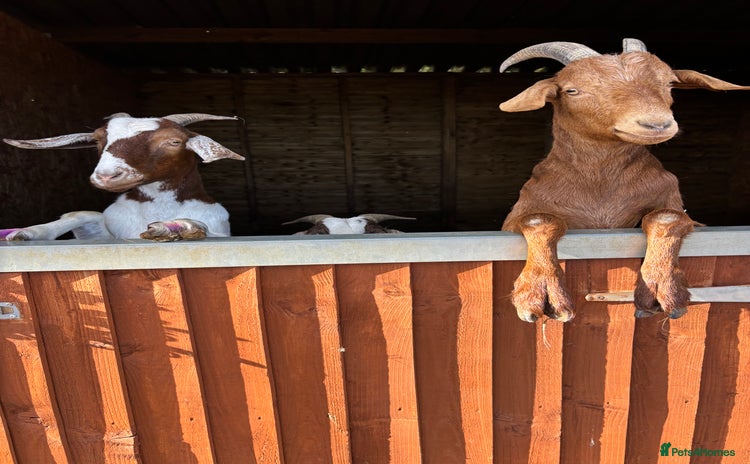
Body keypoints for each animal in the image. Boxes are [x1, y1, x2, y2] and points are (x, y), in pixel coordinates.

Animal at [1, 113, 244, 241]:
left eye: (174, 141)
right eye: (98, 140)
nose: (107, 176)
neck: (159, 206)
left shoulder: (221, 231)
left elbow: (203, 228)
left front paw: (173, 227)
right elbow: (82, 214)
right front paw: (25, 232)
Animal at [498, 38, 749, 322]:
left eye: (669, 83)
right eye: (572, 90)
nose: (656, 124)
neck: (600, 188)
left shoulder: (675, 203)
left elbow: (666, 217)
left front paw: (662, 288)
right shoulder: (519, 214)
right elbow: (539, 219)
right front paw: (538, 291)